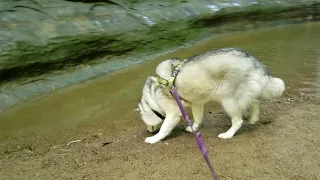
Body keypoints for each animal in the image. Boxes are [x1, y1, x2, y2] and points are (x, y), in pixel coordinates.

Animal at [136, 47, 284, 143]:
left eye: (144, 120)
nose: (148, 131)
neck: (152, 94)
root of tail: (255, 63)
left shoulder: (173, 113)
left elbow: (164, 129)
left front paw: (154, 139)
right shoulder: (197, 103)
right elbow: (197, 118)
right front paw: (194, 128)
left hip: (228, 101)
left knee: (238, 121)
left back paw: (228, 134)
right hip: (243, 93)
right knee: (255, 101)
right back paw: (253, 118)